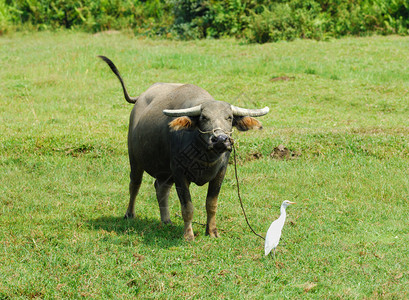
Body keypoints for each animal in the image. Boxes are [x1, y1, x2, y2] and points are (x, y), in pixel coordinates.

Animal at [98, 55, 268, 240]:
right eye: (203, 117)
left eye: (229, 117)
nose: (221, 139)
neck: (204, 157)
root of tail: (140, 98)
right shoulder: (179, 173)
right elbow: (187, 207)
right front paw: (188, 235)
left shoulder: (220, 173)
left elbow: (211, 204)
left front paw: (212, 231)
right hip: (135, 159)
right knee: (134, 185)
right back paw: (129, 214)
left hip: (165, 171)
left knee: (161, 188)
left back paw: (166, 220)